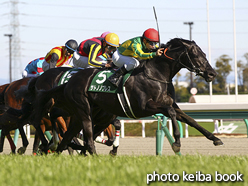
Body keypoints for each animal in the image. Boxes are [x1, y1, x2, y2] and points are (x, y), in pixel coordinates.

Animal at [30, 37, 223, 154]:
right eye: (195, 55)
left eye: (204, 54)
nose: (212, 74)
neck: (157, 74)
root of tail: (70, 81)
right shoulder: (144, 107)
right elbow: (171, 113)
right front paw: (176, 142)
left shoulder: (171, 104)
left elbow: (190, 120)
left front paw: (215, 138)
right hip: (82, 111)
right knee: (69, 129)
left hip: (85, 114)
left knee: (69, 135)